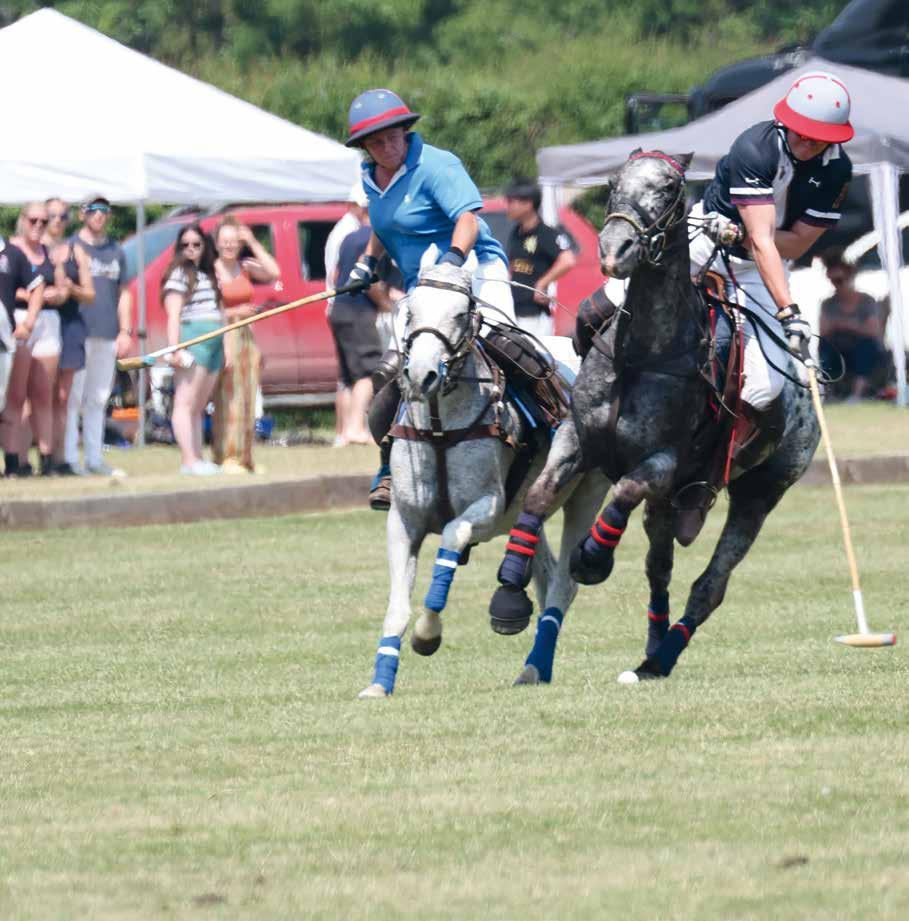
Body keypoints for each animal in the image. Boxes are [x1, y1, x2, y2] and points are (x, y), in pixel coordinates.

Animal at [358, 263, 609, 698]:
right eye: (410, 312)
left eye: (461, 313)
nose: (421, 375)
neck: (440, 426)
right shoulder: (404, 520)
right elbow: (397, 606)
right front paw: (379, 683)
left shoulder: (487, 509)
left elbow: (452, 535)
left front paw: (427, 635)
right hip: (525, 507)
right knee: (545, 571)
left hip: (586, 492)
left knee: (563, 584)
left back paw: (532, 667)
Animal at [488, 150, 821, 683]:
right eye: (612, 182)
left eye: (668, 189)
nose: (613, 249)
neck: (642, 352)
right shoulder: (576, 439)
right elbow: (539, 495)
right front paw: (508, 593)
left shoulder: (663, 460)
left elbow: (623, 490)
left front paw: (592, 559)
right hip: (670, 503)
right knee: (659, 568)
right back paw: (649, 656)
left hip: (761, 491)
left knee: (710, 584)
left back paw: (663, 655)